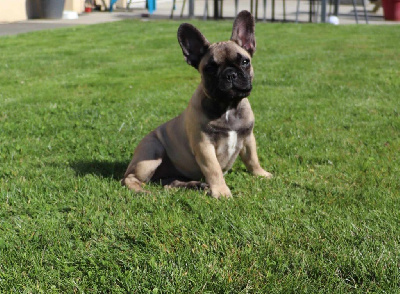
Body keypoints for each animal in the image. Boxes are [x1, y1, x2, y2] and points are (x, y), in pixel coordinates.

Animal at [122, 10, 272, 198]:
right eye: (210, 68)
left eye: (245, 62)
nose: (230, 74)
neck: (228, 106)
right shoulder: (204, 146)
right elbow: (214, 170)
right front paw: (222, 192)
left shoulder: (248, 138)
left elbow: (252, 159)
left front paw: (261, 174)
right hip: (151, 153)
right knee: (129, 179)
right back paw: (145, 192)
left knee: (169, 183)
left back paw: (195, 185)